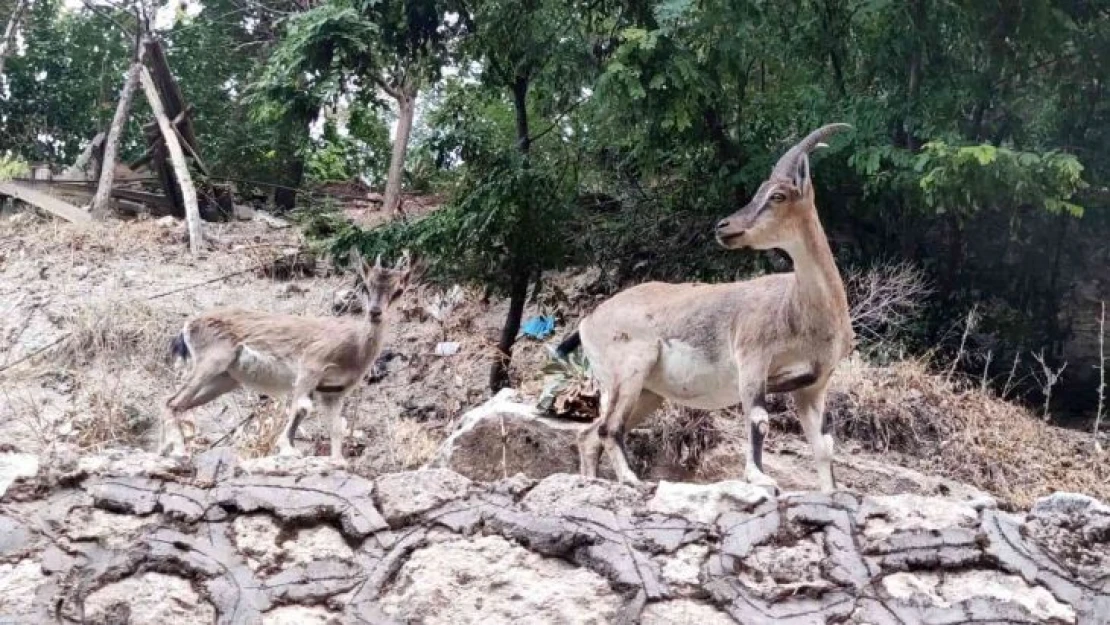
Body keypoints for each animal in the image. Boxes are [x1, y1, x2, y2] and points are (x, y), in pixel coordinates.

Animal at [159, 249, 412, 459]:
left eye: (399, 290)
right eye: (366, 286)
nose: (375, 312)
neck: (354, 348)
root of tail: (187, 327)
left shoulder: (333, 391)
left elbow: (336, 428)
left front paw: (337, 461)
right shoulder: (311, 365)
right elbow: (301, 407)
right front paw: (288, 449)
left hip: (223, 379)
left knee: (179, 404)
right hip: (211, 361)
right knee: (172, 401)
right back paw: (179, 451)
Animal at [559, 123, 852, 495]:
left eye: (777, 196)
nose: (724, 227)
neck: (801, 307)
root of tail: (587, 321)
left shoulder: (812, 386)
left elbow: (823, 446)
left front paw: (833, 492)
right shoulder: (752, 360)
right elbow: (759, 420)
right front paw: (759, 478)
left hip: (645, 392)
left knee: (589, 435)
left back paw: (593, 481)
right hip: (630, 367)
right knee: (608, 427)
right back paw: (631, 479)